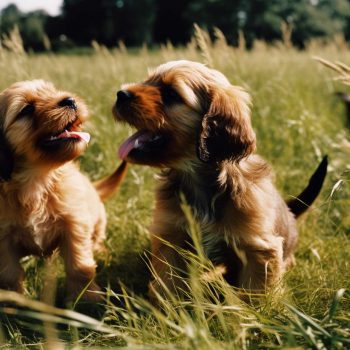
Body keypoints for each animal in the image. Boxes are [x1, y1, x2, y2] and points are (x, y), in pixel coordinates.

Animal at [0, 80, 127, 300]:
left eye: (53, 91)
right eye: (27, 109)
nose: (70, 100)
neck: (37, 181)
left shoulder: (75, 225)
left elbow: (80, 267)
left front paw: (87, 298)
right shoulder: (4, 241)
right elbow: (9, 276)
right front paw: (16, 302)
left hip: (98, 221)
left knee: (97, 240)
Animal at [113, 60, 328, 298]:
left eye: (171, 93)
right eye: (147, 81)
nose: (120, 94)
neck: (199, 180)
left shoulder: (259, 250)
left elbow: (255, 296)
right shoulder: (171, 238)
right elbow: (168, 285)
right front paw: (166, 306)